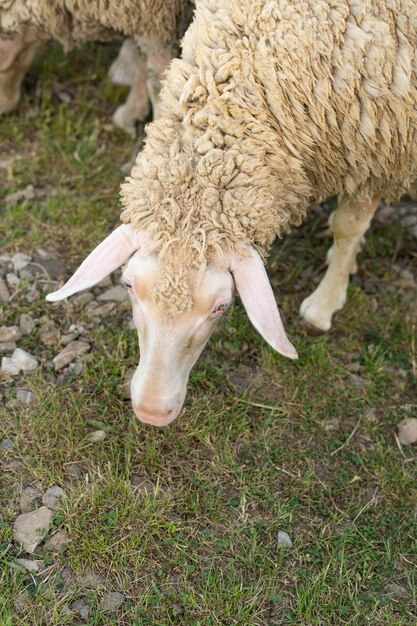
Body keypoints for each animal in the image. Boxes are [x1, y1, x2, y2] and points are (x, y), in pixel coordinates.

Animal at [47, 0, 416, 424]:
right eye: (127, 286)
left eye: (221, 307)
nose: (151, 411)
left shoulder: (377, 148)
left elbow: (348, 228)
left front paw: (323, 306)